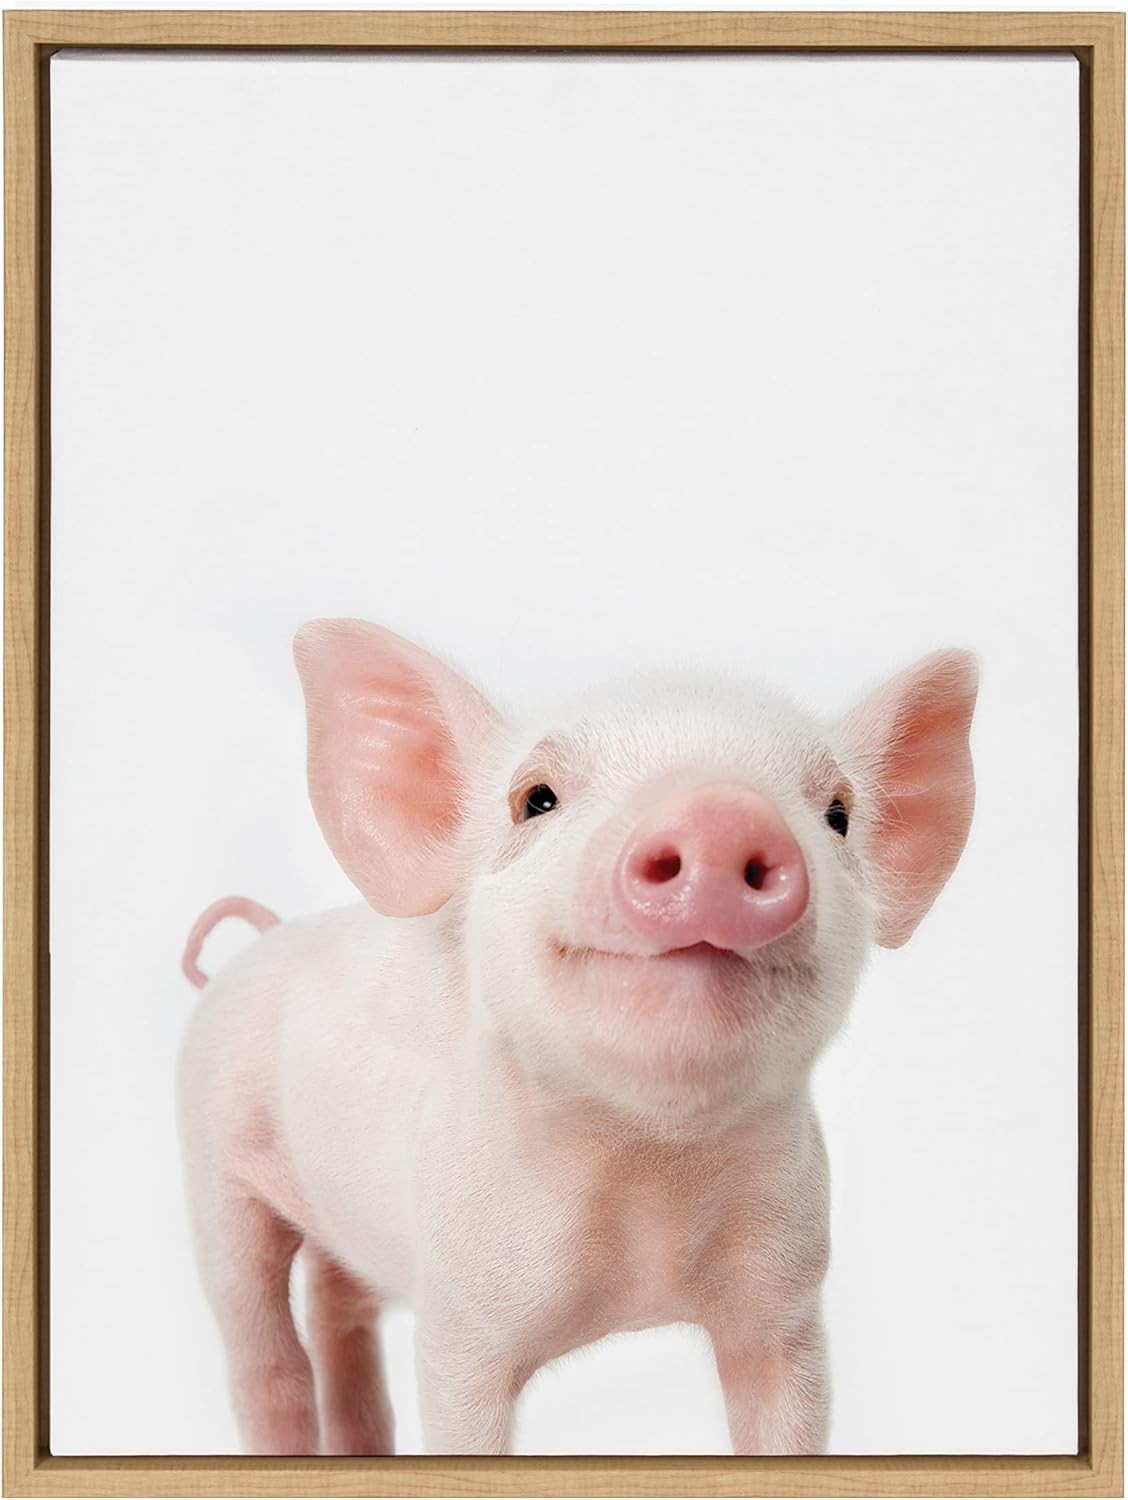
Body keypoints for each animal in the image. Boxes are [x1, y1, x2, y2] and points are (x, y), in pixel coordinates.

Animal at [177, 619, 977, 1457]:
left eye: (837, 814)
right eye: (536, 799)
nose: (719, 813)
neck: (651, 1175)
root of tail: (263, 938)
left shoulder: (787, 1297)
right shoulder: (459, 1313)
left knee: (341, 1312)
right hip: (212, 1160)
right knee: (261, 1352)